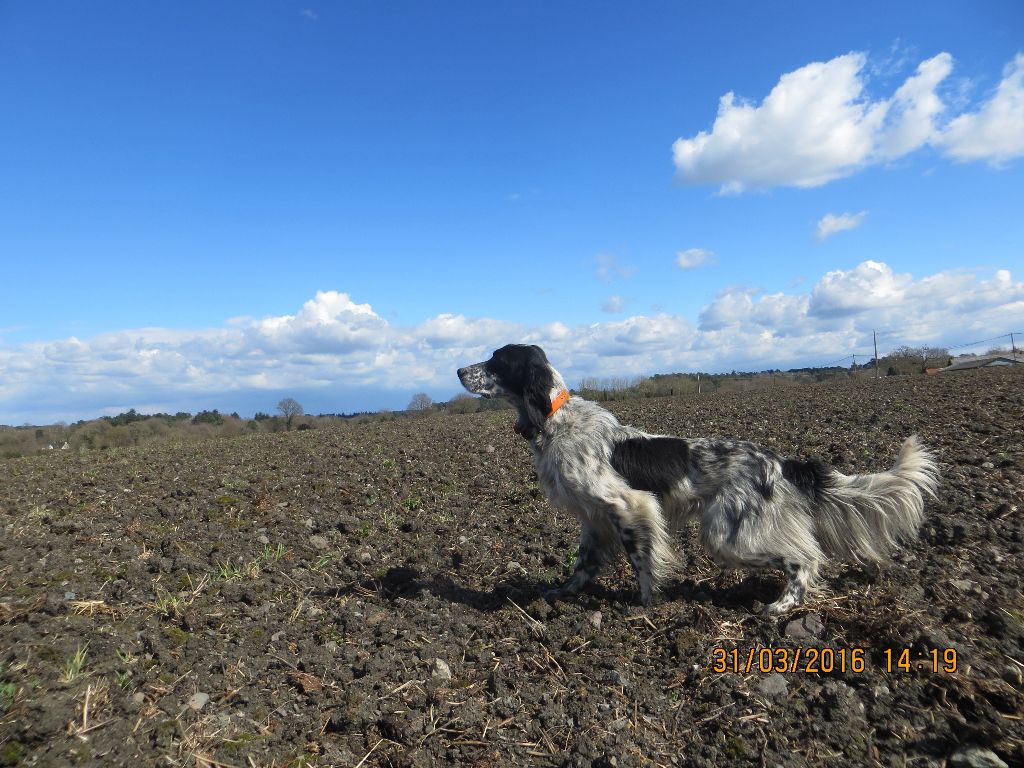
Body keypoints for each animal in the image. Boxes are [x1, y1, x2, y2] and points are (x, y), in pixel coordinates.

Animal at [460, 346, 937, 618]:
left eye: (496, 360)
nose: (460, 370)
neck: (557, 420)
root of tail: (781, 462)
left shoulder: (630, 505)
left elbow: (642, 560)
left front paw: (643, 607)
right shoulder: (594, 519)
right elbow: (582, 567)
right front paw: (557, 595)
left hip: (728, 536)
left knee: (804, 559)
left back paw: (780, 606)